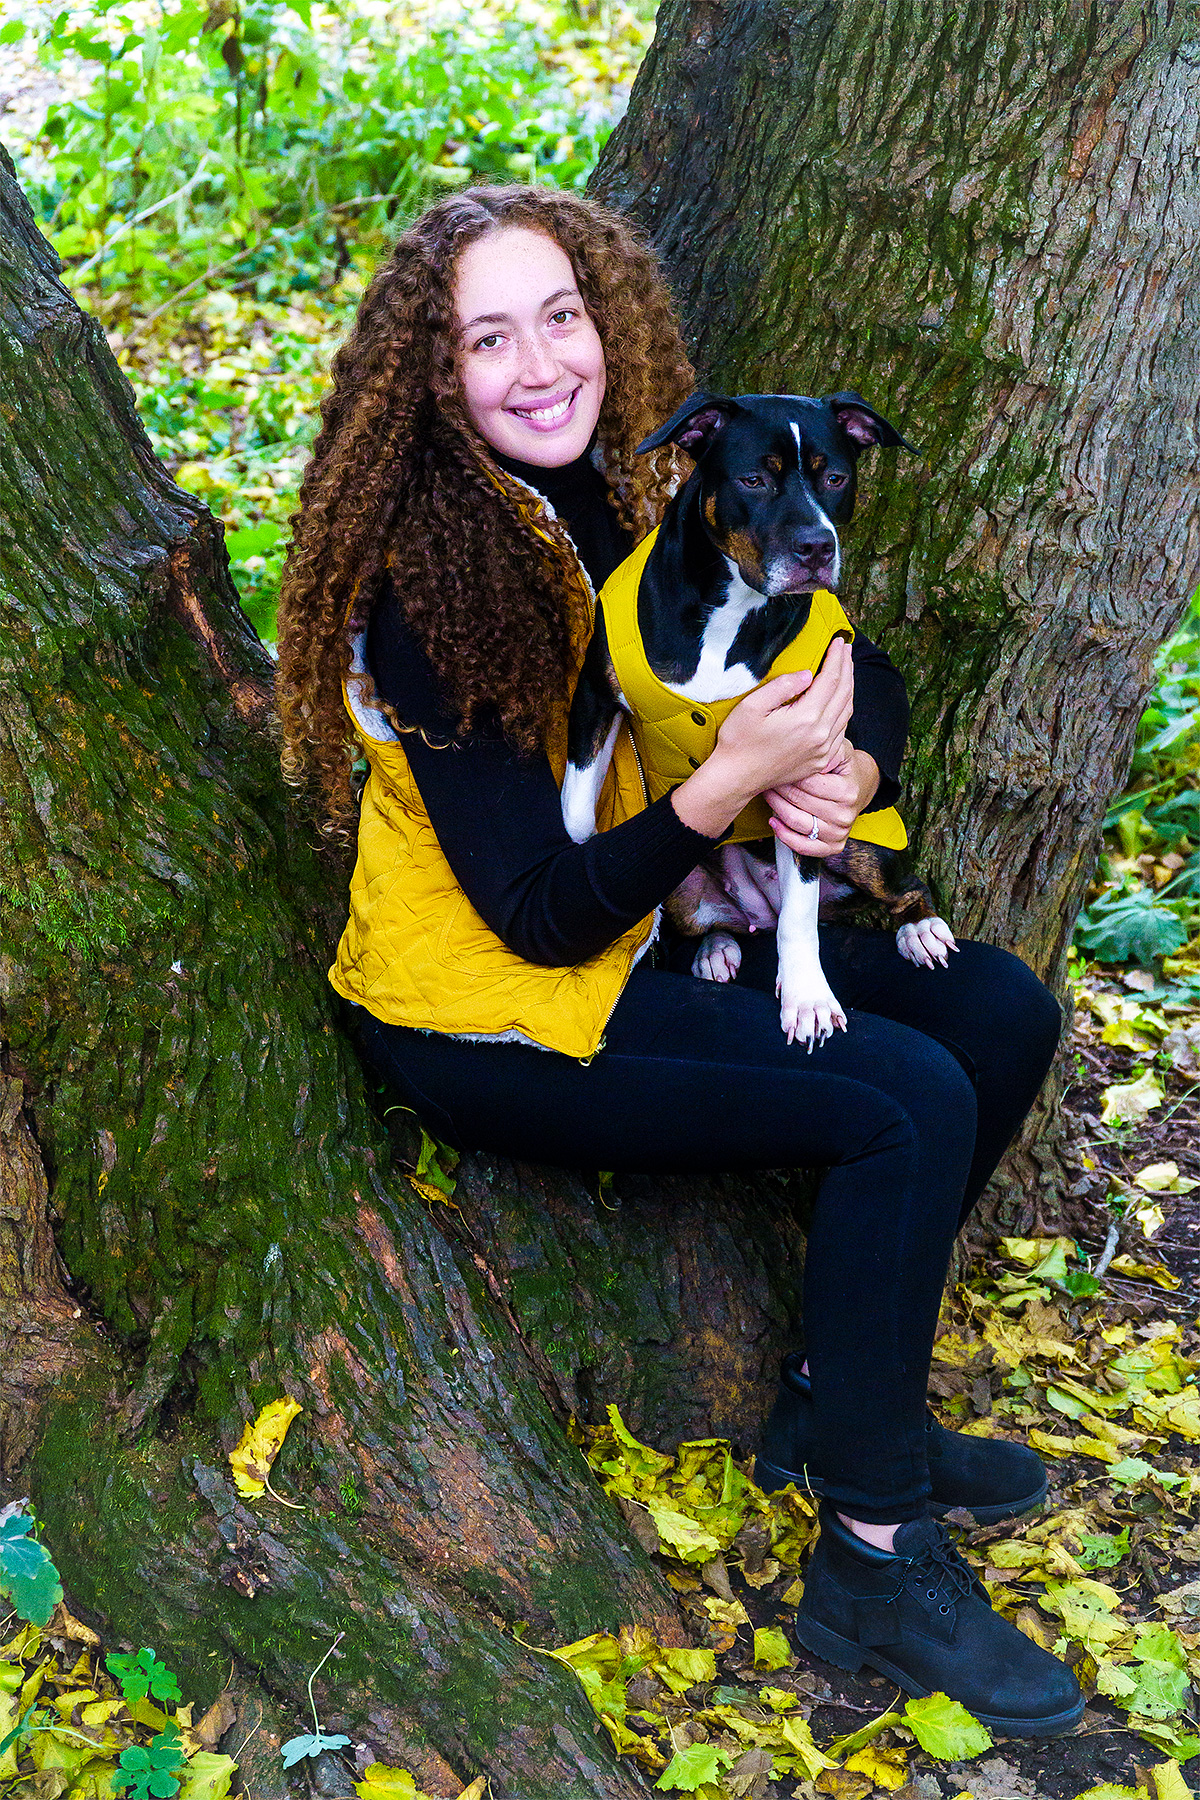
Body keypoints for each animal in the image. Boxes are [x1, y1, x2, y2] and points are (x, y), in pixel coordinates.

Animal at [564, 387, 957, 1051]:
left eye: (835, 477)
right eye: (753, 479)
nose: (817, 548)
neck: (732, 605)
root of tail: (755, 907)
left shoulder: (803, 768)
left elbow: (801, 917)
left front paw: (807, 998)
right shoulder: (595, 696)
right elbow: (573, 813)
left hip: (859, 845)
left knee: (900, 888)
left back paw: (920, 930)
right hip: (684, 887)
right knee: (708, 923)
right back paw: (716, 949)